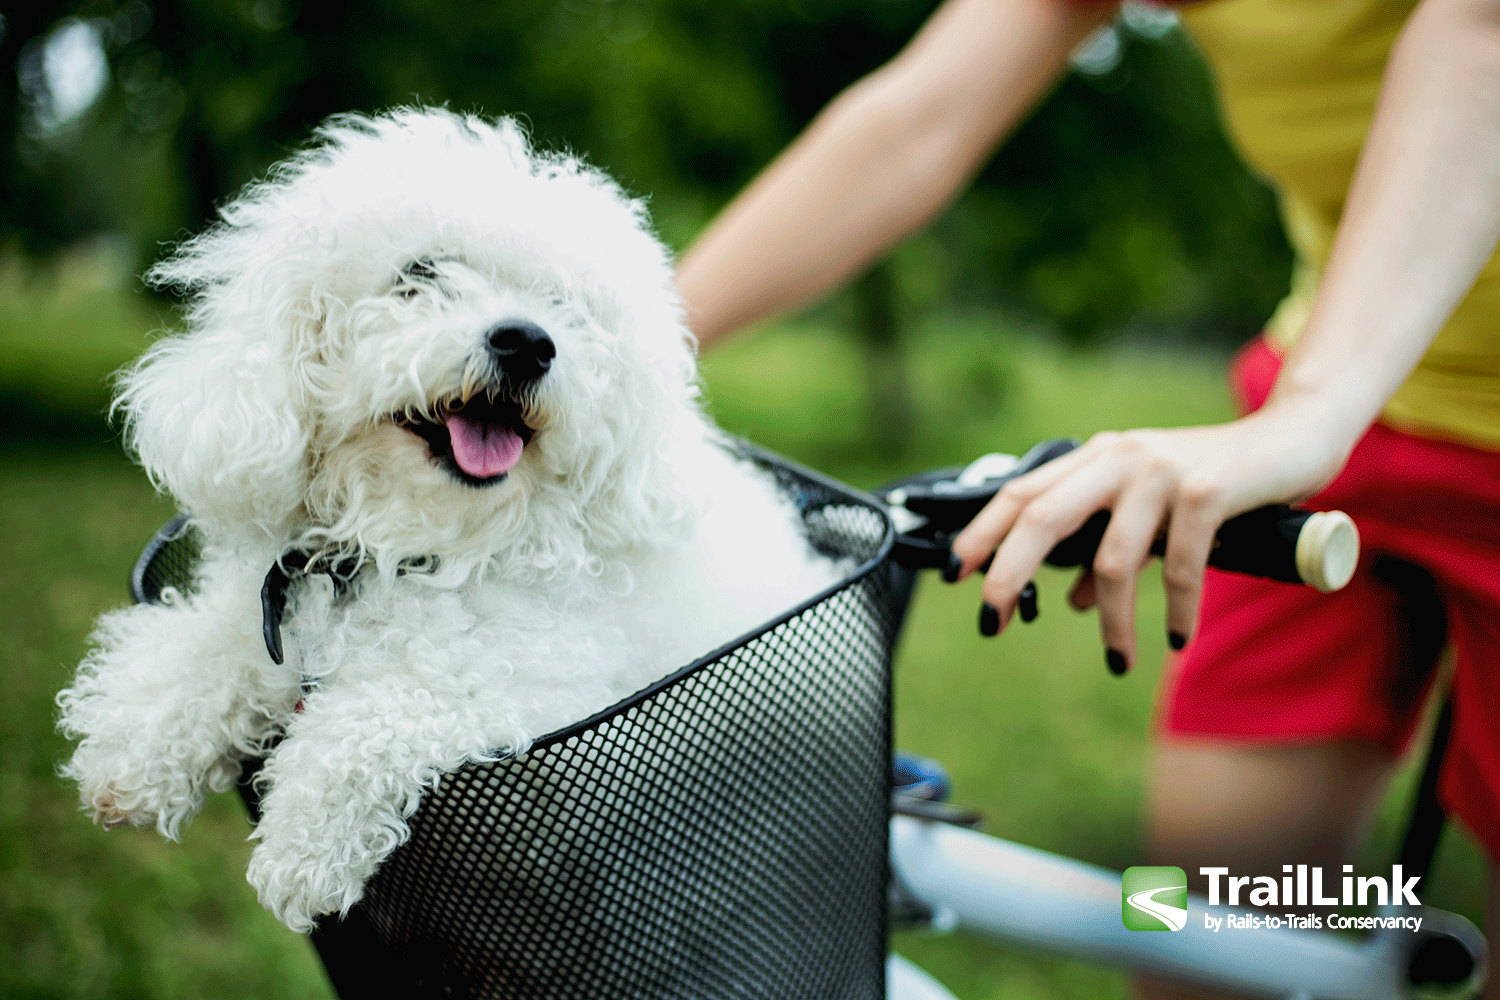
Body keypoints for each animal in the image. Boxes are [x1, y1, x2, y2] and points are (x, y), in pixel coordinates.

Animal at [55, 111, 846, 941]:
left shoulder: (538, 698)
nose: (528, 342)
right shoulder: (272, 611)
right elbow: (205, 647)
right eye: (421, 273)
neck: (407, 548)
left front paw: (302, 847)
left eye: (563, 305)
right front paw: (136, 743)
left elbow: (386, 711)